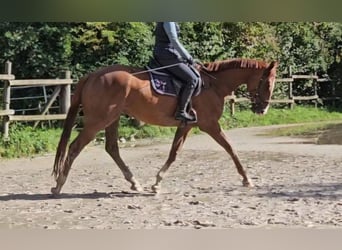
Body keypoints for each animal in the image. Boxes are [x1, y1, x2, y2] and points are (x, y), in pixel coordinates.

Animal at [52, 57, 280, 194]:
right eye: (268, 83)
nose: (263, 109)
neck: (213, 84)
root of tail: (93, 75)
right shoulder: (210, 125)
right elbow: (231, 148)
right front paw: (247, 179)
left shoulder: (187, 125)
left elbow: (174, 152)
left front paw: (157, 182)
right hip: (98, 121)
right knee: (75, 147)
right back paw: (58, 185)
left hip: (111, 120)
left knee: (111, 148)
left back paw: (134, 182)